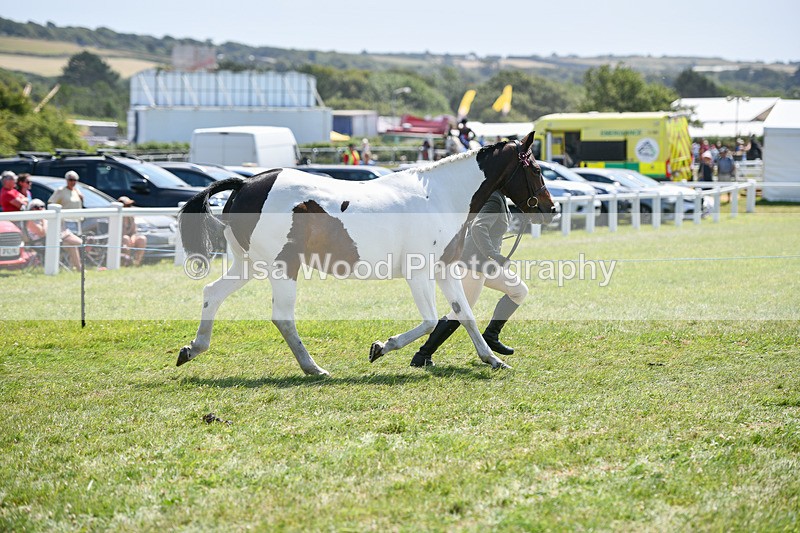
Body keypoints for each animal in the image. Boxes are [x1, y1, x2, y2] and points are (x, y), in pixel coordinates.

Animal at [176, 131, 555, 375]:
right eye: (536, 169)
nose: (550, 208)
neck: (440, 196)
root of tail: (244, 182)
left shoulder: (445, 270)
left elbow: (464, 315)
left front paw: (493, 359)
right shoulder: (418, 273)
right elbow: (431, 319)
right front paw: (381, 347)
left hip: (249, 265)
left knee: (212, 293)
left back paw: (192, 349)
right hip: (283, 267)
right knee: (282, 316)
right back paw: (313, 368)